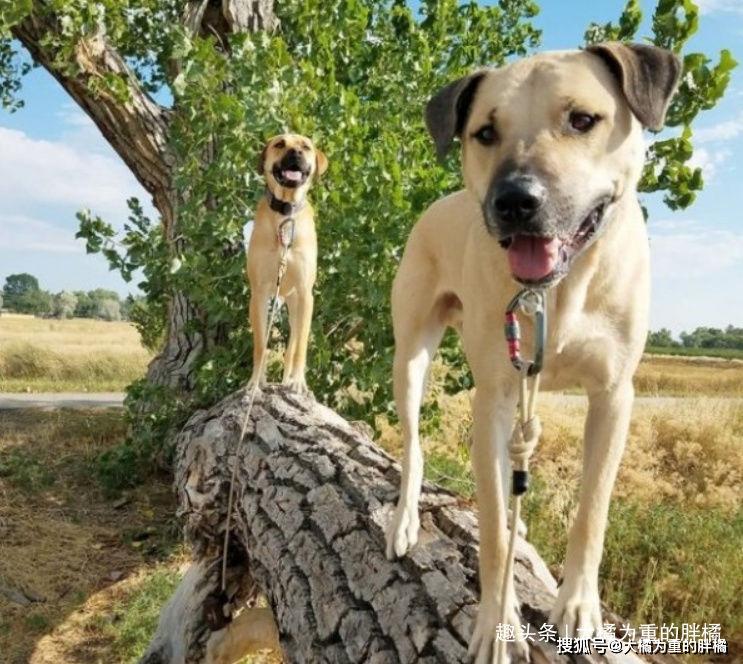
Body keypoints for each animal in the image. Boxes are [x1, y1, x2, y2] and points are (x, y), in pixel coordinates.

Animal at [248, 135, 326, 394]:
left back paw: (289, 379)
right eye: (280, 143)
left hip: (296, 307)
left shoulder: (305, 294)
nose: (295, 153)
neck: (285, 212)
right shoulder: (259, 293)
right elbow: (260, 345)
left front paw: (298, 382)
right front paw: (255, 382)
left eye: (306, 147)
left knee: (293, 345)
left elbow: (300, 347)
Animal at [386, 44, 684, 660]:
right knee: (414, 444)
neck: (558, 291)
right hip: (412, 355)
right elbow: (492, 530)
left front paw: (578, 606)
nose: (515, 202)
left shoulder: (614, 395)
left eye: (583, 119)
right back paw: (404, 520)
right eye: (485, 132)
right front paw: (496, 626)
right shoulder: (494, 397)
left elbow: (592, 509)